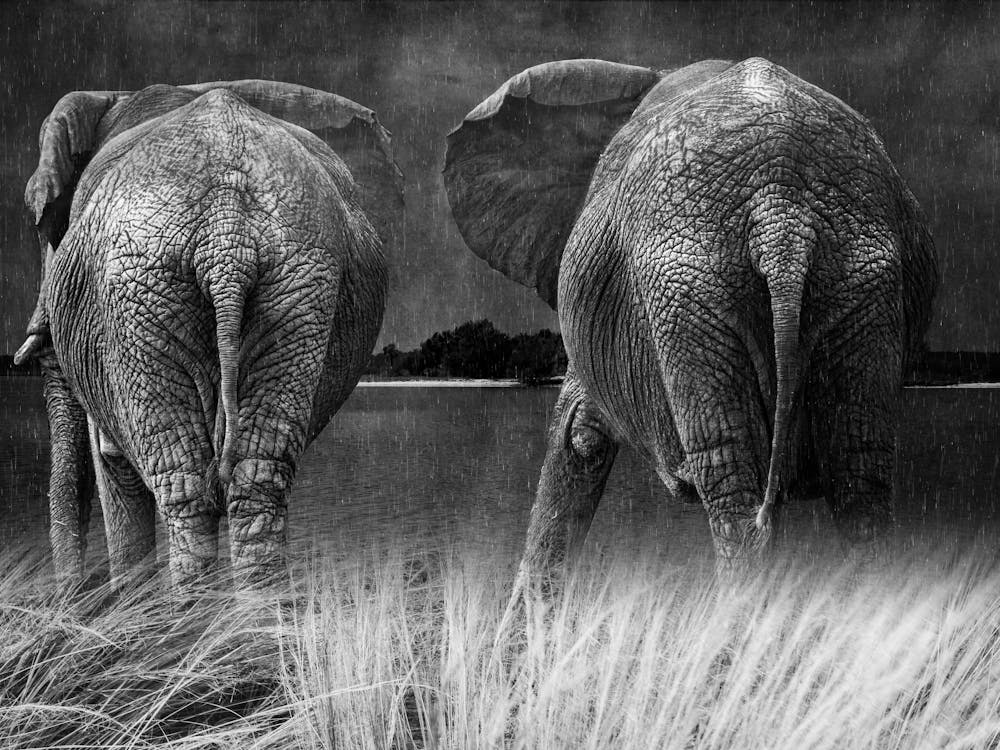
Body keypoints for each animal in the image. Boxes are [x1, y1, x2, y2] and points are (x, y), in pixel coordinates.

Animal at [14, 80, 402, 588]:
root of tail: (227, 236)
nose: (73, 599)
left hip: (141, 289)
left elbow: (112, 463)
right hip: (297, 287)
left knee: (184, 485)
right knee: (258, 475)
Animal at [444, 58, 938, 579]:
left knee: (733, 480)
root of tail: (781, 214)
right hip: (856, 280)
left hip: (691, 288)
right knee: (858, 473)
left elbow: (575, 438)